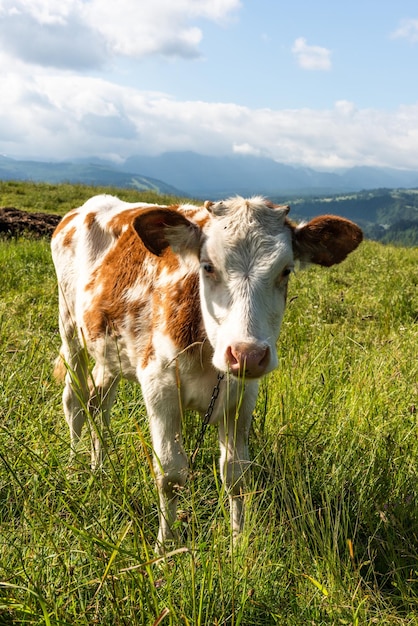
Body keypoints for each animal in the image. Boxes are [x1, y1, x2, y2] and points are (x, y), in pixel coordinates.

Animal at [49, 194, 362, 544]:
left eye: (286, 270)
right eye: (208, 266)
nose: (247, 354)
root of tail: (88, 206)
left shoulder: (241, 398)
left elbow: (236, 475)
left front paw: (239, 544)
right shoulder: (159, 385)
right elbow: (170, 474)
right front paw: (166, 548)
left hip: (110, 349)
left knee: (98, 401)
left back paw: (98, 467)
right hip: (69, 326)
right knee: (74, 400)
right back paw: (74, 467)